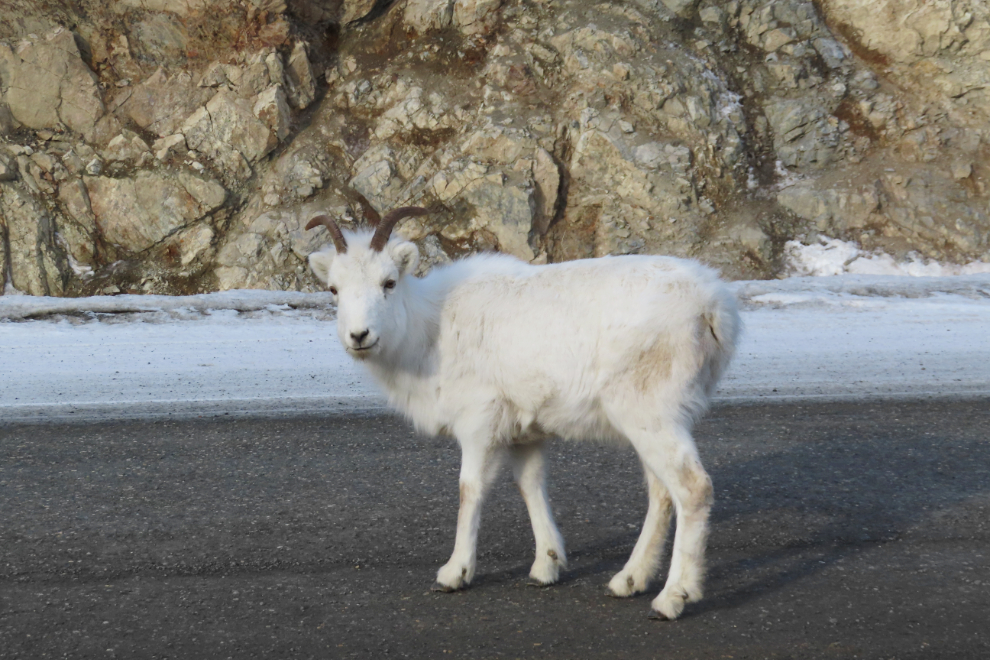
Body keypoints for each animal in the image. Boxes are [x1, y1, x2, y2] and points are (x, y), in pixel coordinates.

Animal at [306, 206, 740, 620]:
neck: (431, 331)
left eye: (389, 283)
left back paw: (671, 599)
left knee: (692, 489)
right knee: (661, 492)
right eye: (334, 289)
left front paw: (454, 574)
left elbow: (470, 489)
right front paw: (546, 568)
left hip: (651, 416)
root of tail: (712, 307)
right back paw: (627, 581)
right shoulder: (523, 435)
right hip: (652, 422)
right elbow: (530, 486)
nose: (359, 336)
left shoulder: (479, 424)